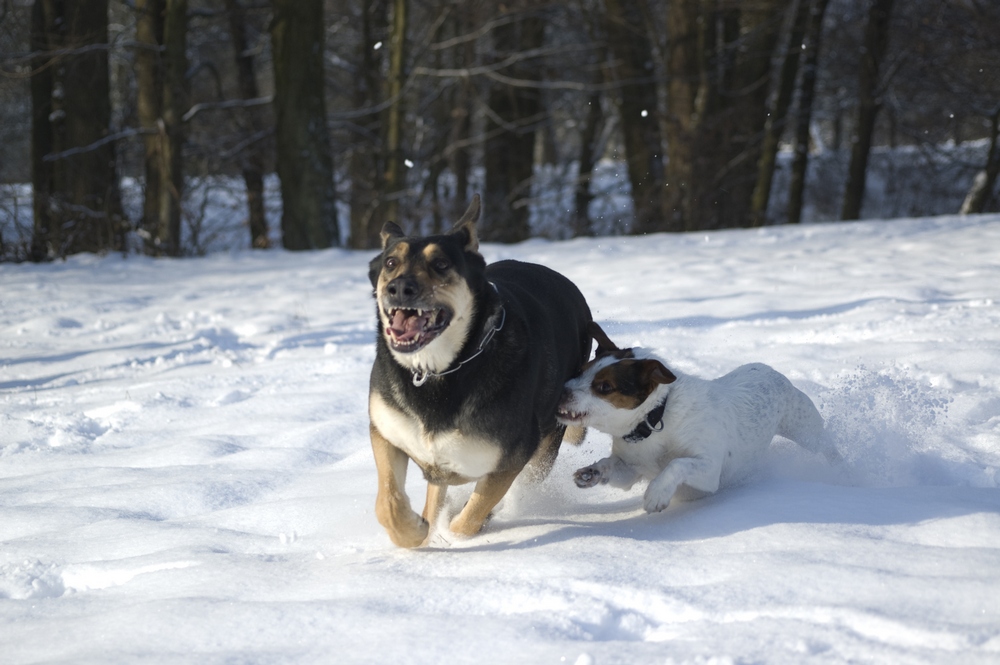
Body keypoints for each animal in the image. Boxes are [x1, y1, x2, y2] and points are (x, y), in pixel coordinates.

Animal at [368, 195, 588, 548]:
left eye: (441, 264)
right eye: (390, 263)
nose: (399, 288)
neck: (441, 370)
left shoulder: (512, 455)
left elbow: (471, 516)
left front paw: (457, 529)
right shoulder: (386, 431)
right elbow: (388, 503)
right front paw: (416, 530)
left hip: (547, 440)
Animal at [560, 324, 840, 510]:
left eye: (605, 386)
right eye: (581, 371)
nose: (560, 390)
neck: (655, 418)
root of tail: (764, 366)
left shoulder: (709, 469)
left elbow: (677, 464)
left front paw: (657, 493)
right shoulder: (630, 468)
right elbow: (611, 466)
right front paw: (592, 472)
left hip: (806, 429)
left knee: (828, 447)